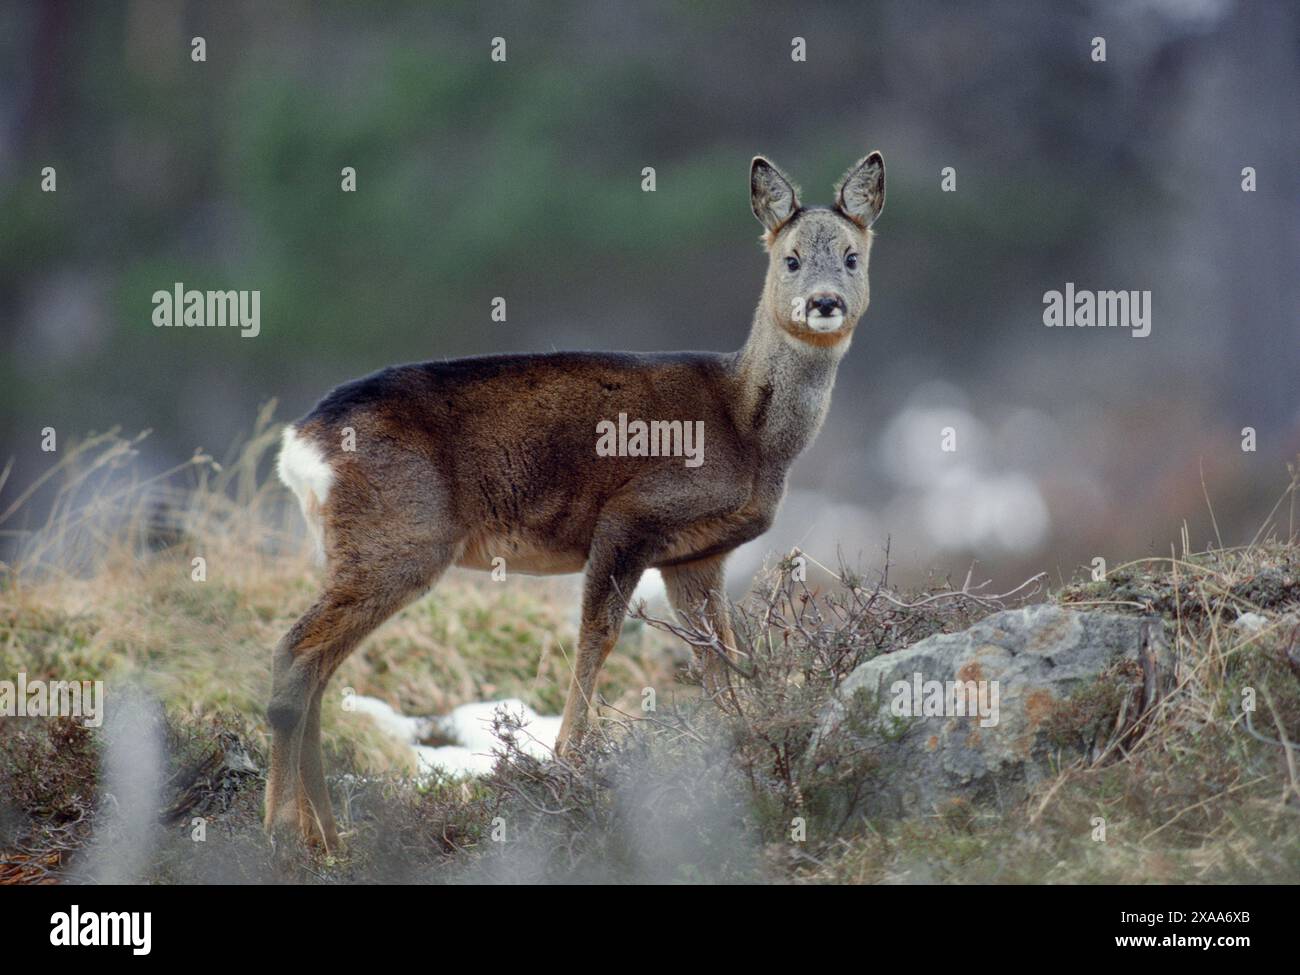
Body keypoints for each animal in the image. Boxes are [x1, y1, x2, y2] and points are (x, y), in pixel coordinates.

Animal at [270, 148, 889, 852]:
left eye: (852, 256)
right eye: (790, 258)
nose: (824, 302)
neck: (750, 431)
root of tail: (299, 445)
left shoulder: (696, 556)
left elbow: (719, 658)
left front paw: (747, 741)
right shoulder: (631, 514)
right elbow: (599, 635)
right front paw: (567, 758)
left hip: (362, 547)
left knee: (317, 669)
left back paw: (324, 836)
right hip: (398, 538)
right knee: (296, 653)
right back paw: (286, 831)